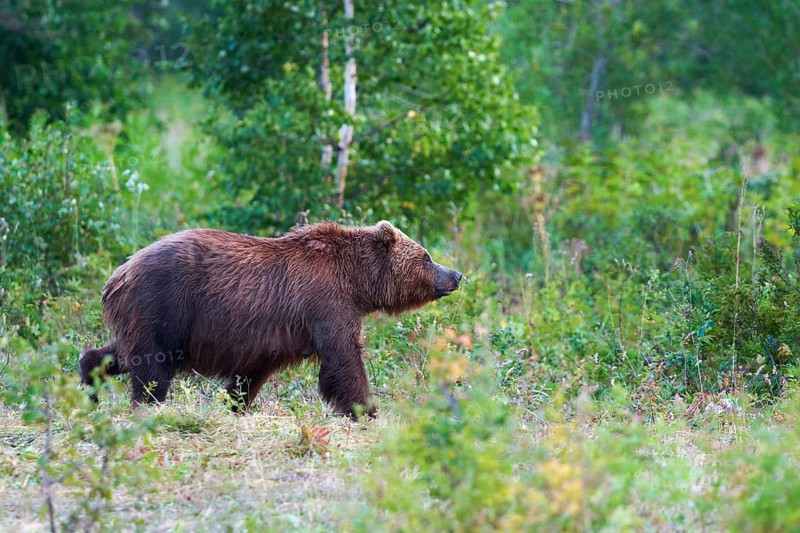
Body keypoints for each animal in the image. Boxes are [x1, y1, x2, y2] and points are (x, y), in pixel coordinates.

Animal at [79, 221, 462, 418]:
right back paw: (147, 407)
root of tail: (118, 274)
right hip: (164, 305)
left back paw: (89, 378)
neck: (357, 280)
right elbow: (343, 357)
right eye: (426, 257)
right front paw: (365, 408)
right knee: (152, 366)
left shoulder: (268, 337)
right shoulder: (327, 302)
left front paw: (237, 404)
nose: (456, 275)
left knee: (122, 353)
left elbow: (251, 372)